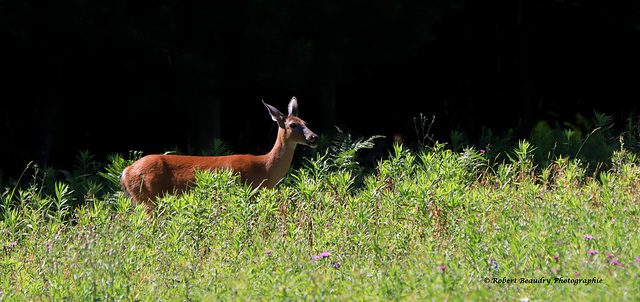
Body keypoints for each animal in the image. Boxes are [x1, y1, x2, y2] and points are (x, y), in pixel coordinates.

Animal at [120, 96, 318, 210]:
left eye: (305, 122)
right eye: (293, 125)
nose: (314, 137)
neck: (264, 169)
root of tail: (125, 172)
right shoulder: (246, 191)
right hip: (148, 198)